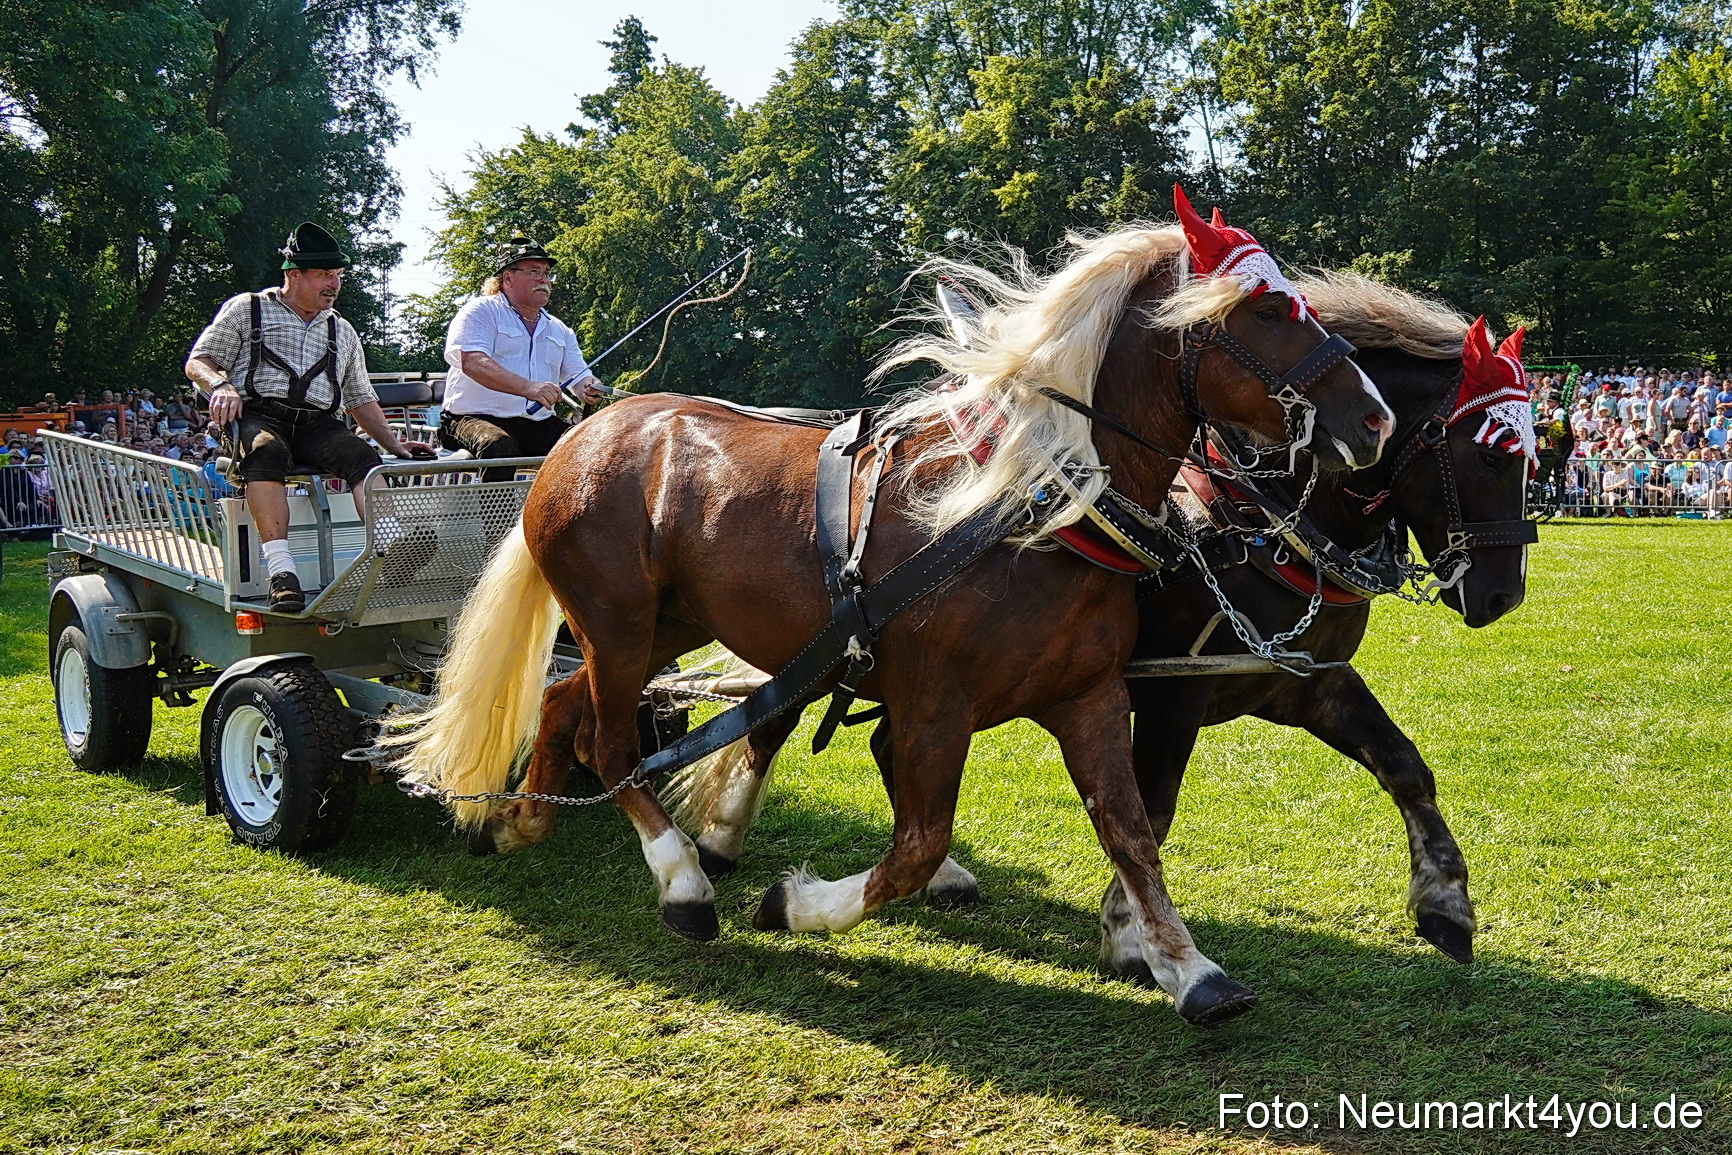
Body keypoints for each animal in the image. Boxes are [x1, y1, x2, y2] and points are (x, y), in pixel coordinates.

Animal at [391, 198, 1394, 1027]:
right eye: (1268, 311)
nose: (1376, 419)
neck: (1030, 506)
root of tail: (581, 433)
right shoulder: (930, 710)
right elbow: (915, 847)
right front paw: (795, 904)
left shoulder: (1090, 696)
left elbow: (1131, 830)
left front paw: (1190, 970)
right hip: (618, 620)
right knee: (612, 744)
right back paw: (681, 882)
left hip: (658, 625)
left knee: (566, 706)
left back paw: (522, 818)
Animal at [669, 273, 1535, 988]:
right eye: (1493, 455)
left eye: (1535, 456)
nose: (1503, 594)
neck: (1257, 526)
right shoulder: (1170, 698)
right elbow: (1152, 810)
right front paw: (1130, 933)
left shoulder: (1305, 683)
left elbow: (1403, 764)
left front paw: (1446, 900)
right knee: (773, 718)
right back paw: (718, 843)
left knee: (877, 740)